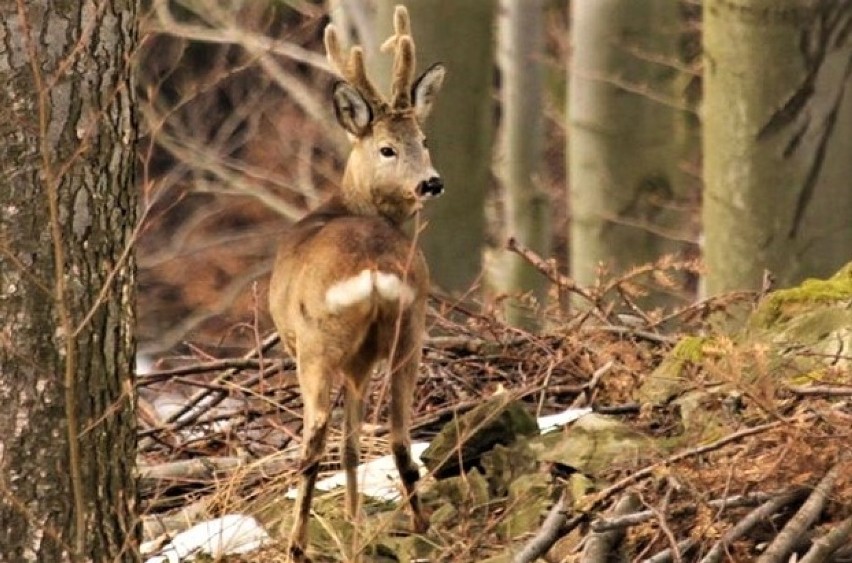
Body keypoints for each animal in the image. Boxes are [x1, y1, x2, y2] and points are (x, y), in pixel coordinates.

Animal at [270, 6, 446, 560]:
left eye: (423, 141)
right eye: (389, 148)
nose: (431, 182)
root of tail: (371, 267)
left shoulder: (331, 353)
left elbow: (340, 439)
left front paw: (348, 517)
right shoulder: (365, 357)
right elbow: (353, 442)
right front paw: (353, 516)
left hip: (319, 344)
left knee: (314, 440)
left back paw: (297, 544)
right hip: (410, 327)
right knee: (398, 433)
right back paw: (419, 524)